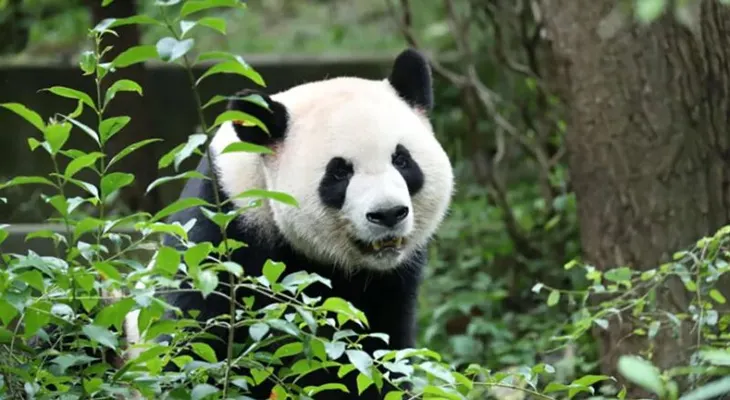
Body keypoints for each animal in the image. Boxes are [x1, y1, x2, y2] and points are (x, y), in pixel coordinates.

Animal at [124, 48, 454, 399]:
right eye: (339, 172)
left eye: (402, 160)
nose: (388, 213)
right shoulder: (221, 232)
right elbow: (192, 341)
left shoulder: (392, 282)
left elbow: (377, 353)